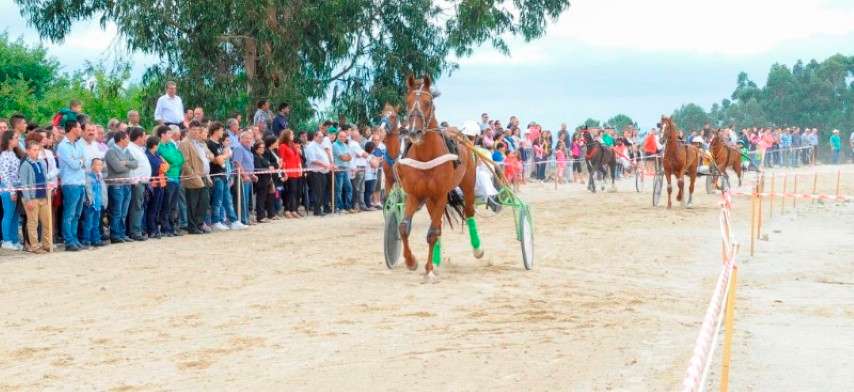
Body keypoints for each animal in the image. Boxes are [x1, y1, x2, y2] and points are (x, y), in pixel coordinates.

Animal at [396, 74, 482, 282]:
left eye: (428, 103)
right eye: (407, 102)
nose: (413, 132)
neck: (426, 156)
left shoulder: (441, 194)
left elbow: (432, 233)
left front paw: (428, 270)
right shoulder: (414, 194)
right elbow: (404, 227)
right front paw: (412, 262)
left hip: (468, 185)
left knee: (469, 212)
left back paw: (477, 250)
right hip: (429, 200)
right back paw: (435, 261)